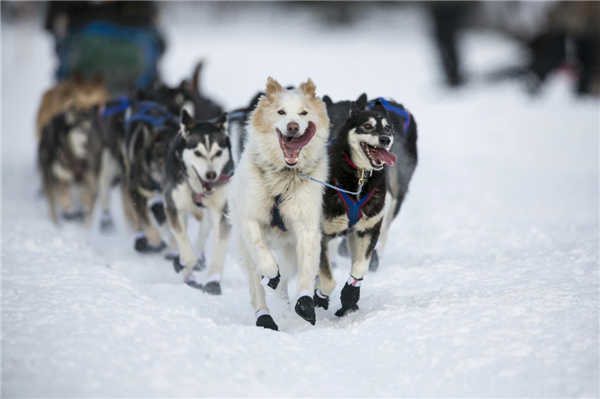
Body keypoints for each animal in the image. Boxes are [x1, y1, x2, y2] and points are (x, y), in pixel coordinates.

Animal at [227, 77, 328, 332]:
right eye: (281, 112)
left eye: (303, 113)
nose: (292, 127)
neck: (284, 178)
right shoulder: (251, 220)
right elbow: (265, 261)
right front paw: (270, 275)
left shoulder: (307, 228)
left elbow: (307, 269)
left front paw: (305, 302)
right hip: (245, 250)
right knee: (257, 286)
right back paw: (265, 317)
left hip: (290, 252)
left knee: (284, 284)